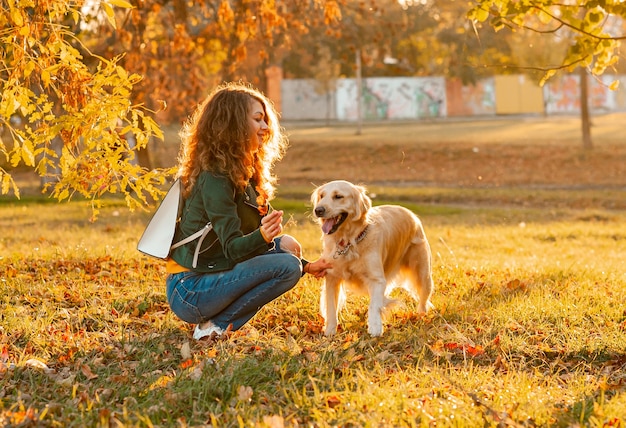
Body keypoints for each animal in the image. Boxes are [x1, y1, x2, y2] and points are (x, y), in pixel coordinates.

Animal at [310, 179, 432, 336]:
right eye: (321, 196)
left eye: (338, 196)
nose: (318, 210)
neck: (349, 242)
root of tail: (412, 214)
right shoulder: (332, 277)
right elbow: (331, 307)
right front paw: (330, 331)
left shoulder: (377, 279)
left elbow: (373, 305)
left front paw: (375, 328)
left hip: (423, 274)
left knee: (423, 300)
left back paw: (421, 316)